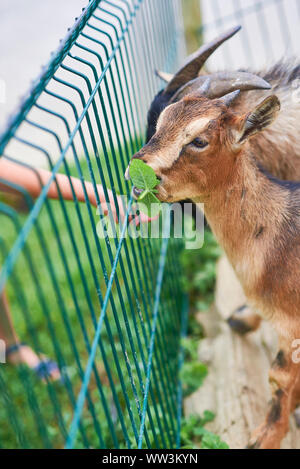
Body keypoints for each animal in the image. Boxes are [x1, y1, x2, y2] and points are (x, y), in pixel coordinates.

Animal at [127, 88, 300, 450]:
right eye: (161, 122)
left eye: (199, 141)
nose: (135, 175)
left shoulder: (293, 324)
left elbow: (278, 377)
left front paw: (264, 437)